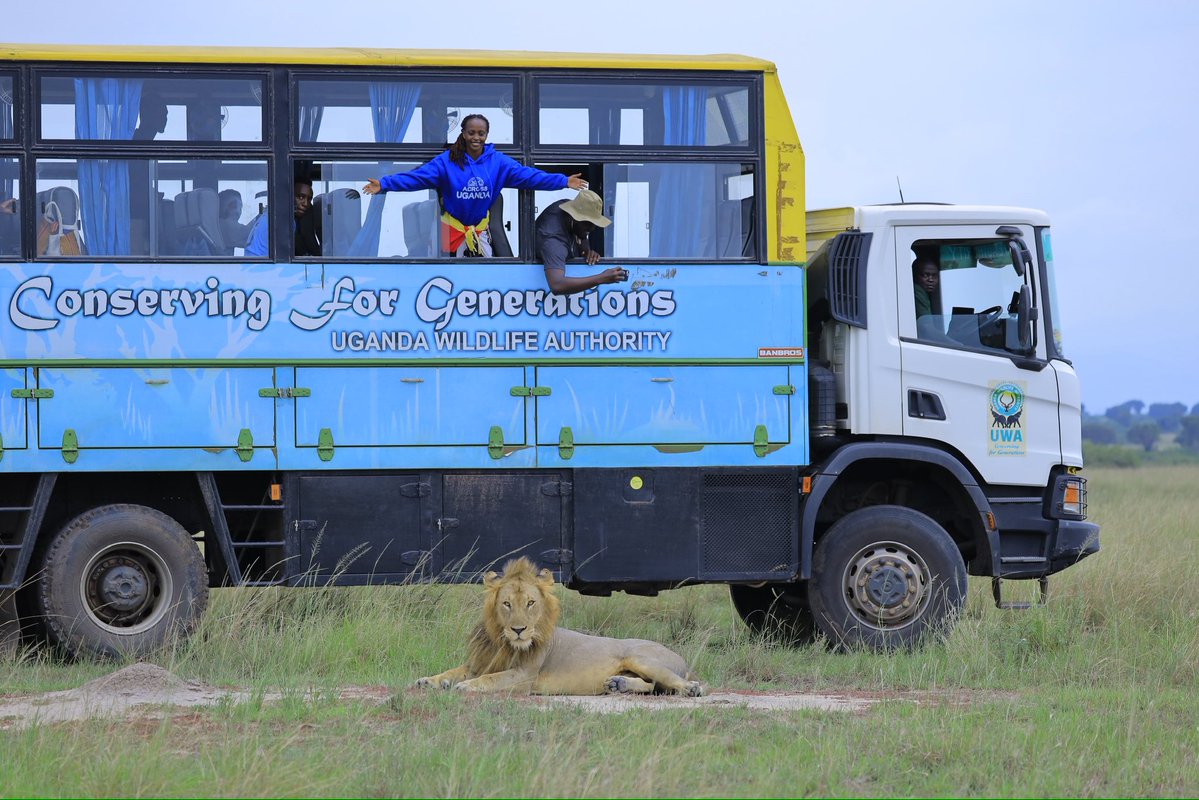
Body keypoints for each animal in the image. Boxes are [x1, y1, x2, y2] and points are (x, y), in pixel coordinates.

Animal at [414, 557, 705, 696]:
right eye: (507, 604)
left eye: (530, 602)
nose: (518, 630)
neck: (502, 641)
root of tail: (681, 657)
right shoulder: (479, 663)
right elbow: (453, 671)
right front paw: (429, 680)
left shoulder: (524, 675)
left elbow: (490, 678)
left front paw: (467, 686)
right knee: (651, 686)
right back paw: (617, 684)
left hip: (641, 657)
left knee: (675, 682)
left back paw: (692, 689)